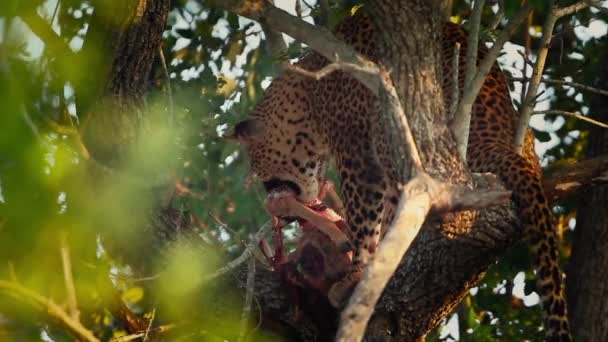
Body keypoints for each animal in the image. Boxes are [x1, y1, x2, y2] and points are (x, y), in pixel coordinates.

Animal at [227, 9, 568, 340]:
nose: (272, 199)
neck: (309, 93)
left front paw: (356, 273)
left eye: (259, 168)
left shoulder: (357, 154)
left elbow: (364, 221)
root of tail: (494, 136)